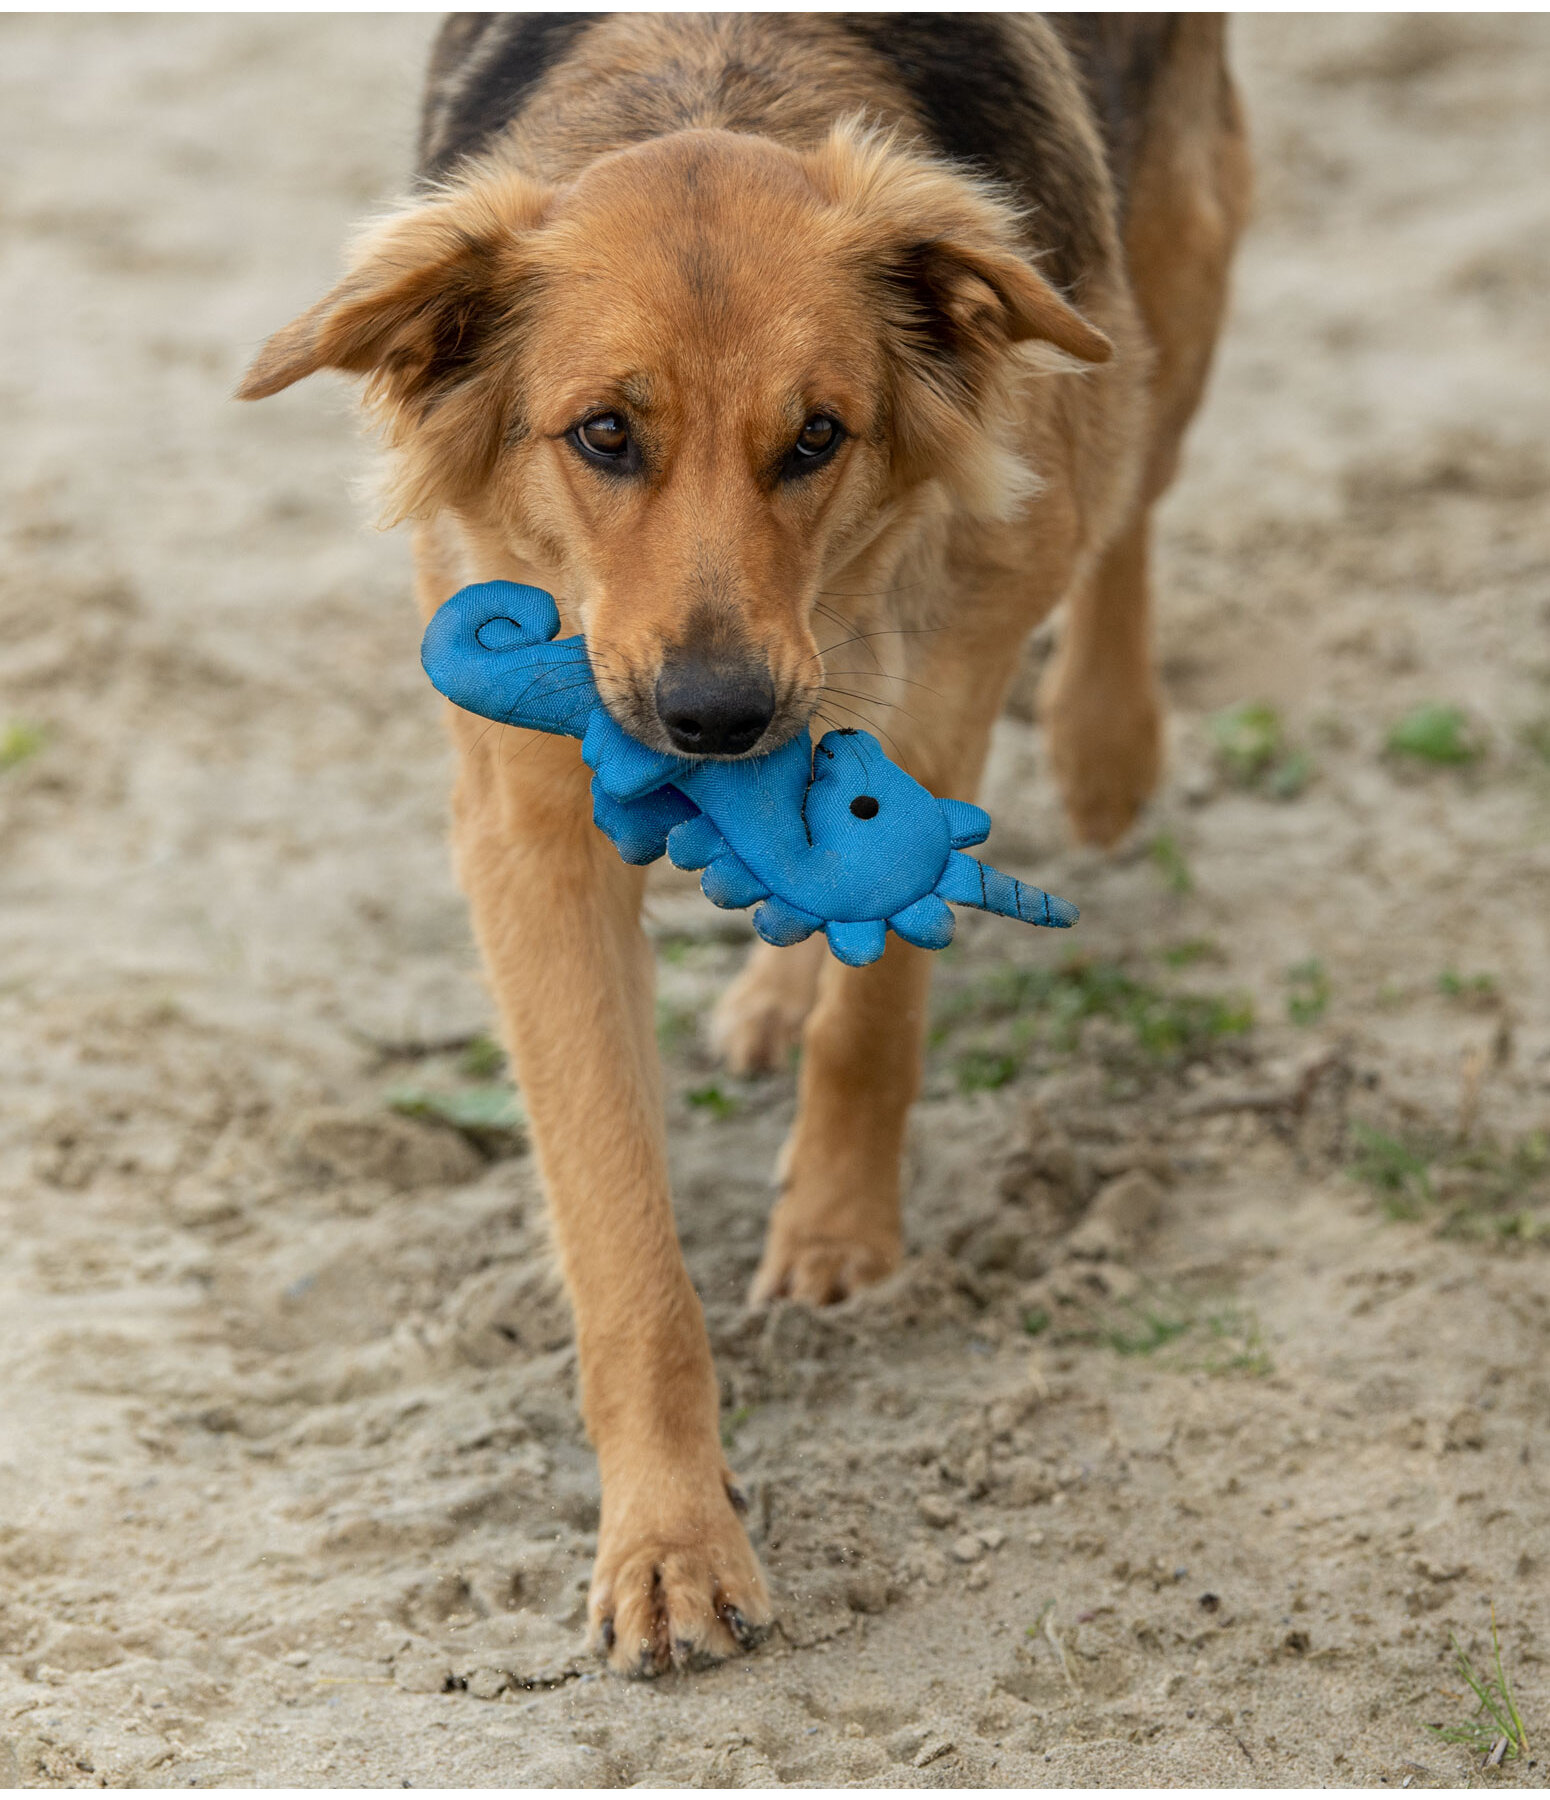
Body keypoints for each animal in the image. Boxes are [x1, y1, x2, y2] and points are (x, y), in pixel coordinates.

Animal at [244, 10, 1260, 1670]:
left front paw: (838, 1231)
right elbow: (620, 1242)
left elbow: (881, 1008)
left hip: (1160, 289)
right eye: (602, 434)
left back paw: (1106, 745)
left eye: (817, 438)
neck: (720, 68)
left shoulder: (939, 682)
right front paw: (670, 1540)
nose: (712, 720)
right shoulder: (530, 835)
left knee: (1127, 502)